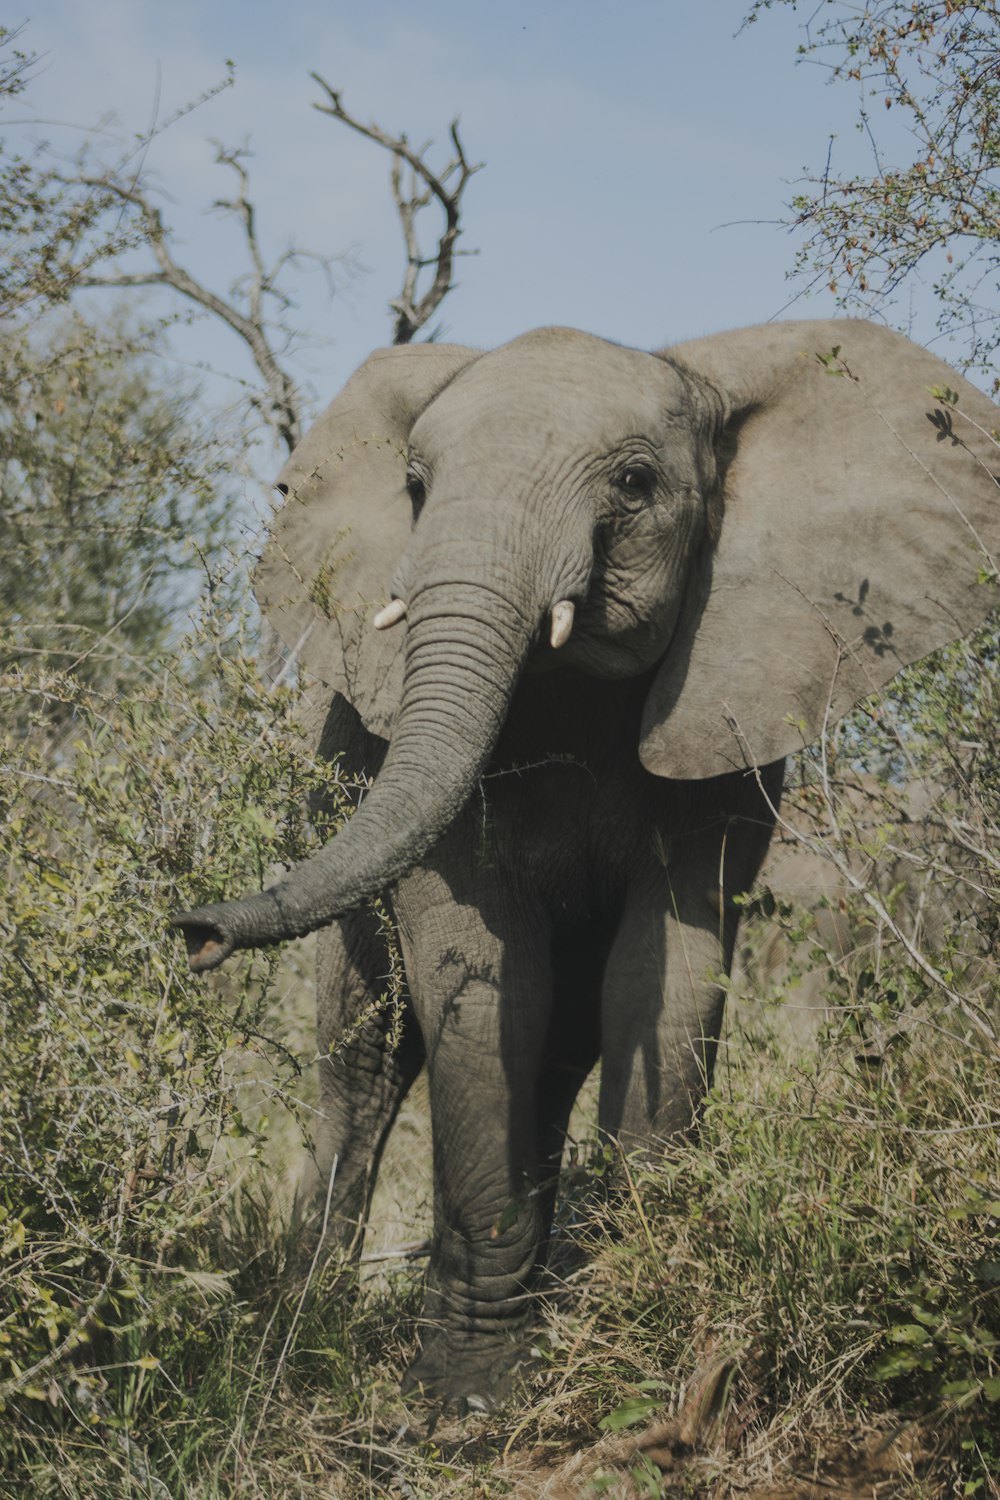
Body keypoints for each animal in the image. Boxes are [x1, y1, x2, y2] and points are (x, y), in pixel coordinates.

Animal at [173, 316, 1000, 1404]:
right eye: (414, 486)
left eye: (636, 483)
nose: (194, 932)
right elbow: (482, 982)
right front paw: (470, 1391)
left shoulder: (725, 719)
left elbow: (662, 975)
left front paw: (624, 1331)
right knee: (366, 1053)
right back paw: (305, 1325)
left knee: (554, 1050)